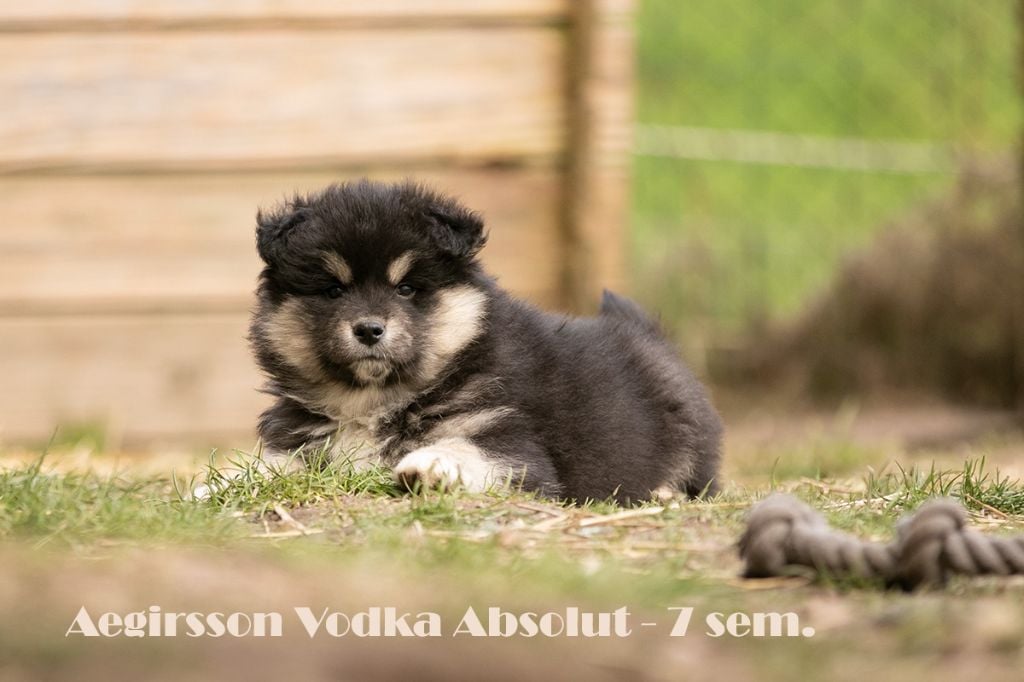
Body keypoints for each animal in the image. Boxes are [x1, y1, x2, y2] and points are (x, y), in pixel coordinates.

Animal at [245, 180, 722, 503]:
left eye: (406, 289)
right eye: (332, 291)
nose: (368, 329)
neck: (374, 399)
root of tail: (646, 333)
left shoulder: (508, 441)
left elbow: (466, 449)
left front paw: (430, 465)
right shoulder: (303, 441)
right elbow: (275, 464)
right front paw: (231, 479)